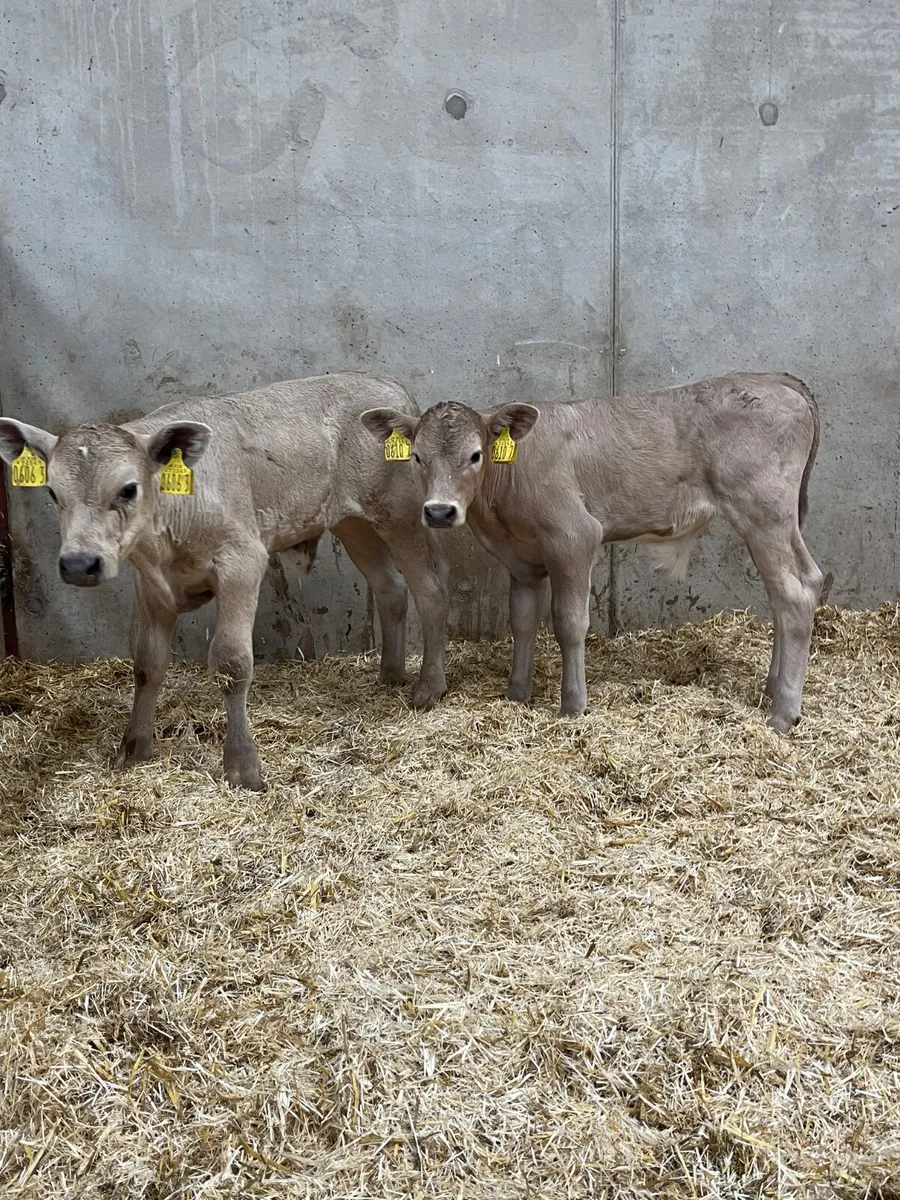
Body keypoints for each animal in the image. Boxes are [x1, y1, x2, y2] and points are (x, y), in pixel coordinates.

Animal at [0, 374, 450, 790]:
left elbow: (232, 662)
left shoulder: (242, 562)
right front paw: (134, 747)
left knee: (430, 591)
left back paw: (429, 688)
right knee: (390, 588)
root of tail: (389, 386)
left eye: (128, 489)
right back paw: (390, 675)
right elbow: (147, 662)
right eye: (53, 493)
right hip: (352, 523)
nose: (79, 564)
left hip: (402, 516)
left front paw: (242, 766)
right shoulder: (151, 586)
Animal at [361, 373, 823, 734]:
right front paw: (517, 695)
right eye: (417, 457)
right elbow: (523, 621)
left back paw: (784, 712)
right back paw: (773, 688)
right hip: (778, 522)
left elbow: (568, 622)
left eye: (475, 455)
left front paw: (572, 706)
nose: (439, 511)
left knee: (794, 593)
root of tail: (774, 379)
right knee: (797, 587)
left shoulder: (574, 536)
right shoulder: (520, 559)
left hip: (763, 512)